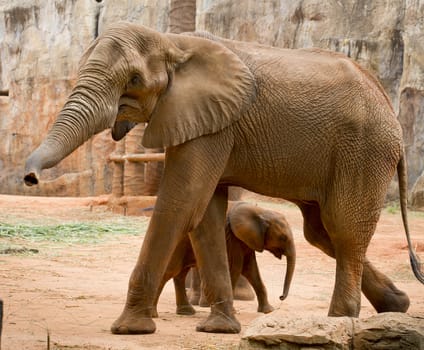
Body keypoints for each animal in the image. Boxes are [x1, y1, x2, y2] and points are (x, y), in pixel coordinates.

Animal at [154, 201, 296, 316]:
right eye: (283, 238)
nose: (281, 297)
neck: (261, 211)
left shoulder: (246, 240)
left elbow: (251, 270)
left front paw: (268, 311)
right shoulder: (232, 238)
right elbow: (236, 268)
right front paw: (232, 312)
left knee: (180, 274)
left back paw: (186, 312)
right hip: (178, 244)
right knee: (171, 271)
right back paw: (154, 314)